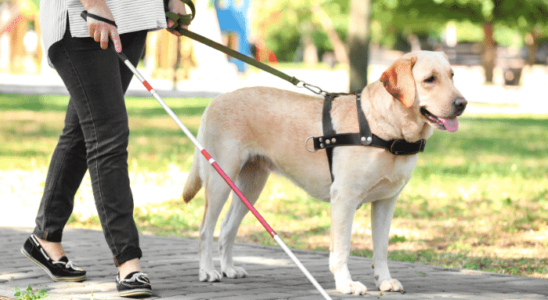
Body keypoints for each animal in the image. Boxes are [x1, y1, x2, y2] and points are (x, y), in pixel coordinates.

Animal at [183, 51, 466, 292]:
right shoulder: (344, 198)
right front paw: (346, 284)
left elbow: (381, 248)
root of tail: (216, 100)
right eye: (429, 79)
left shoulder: (386, 201)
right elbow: (341, 248)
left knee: (227, 227)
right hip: (220, 179)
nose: (462, 103)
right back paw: (208, 271)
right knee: (205, 229)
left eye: (452, 75)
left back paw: (229, 268)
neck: (388, 130)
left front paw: (384, 281)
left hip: (250, 187)